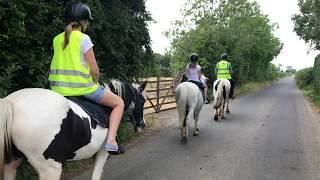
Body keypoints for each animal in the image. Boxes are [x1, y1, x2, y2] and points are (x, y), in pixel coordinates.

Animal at [0, 80, 148, 180]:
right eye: (143, 101)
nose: (143, 124)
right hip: (51, 169)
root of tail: (11, 102)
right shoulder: (103, 152)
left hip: (10, 165)